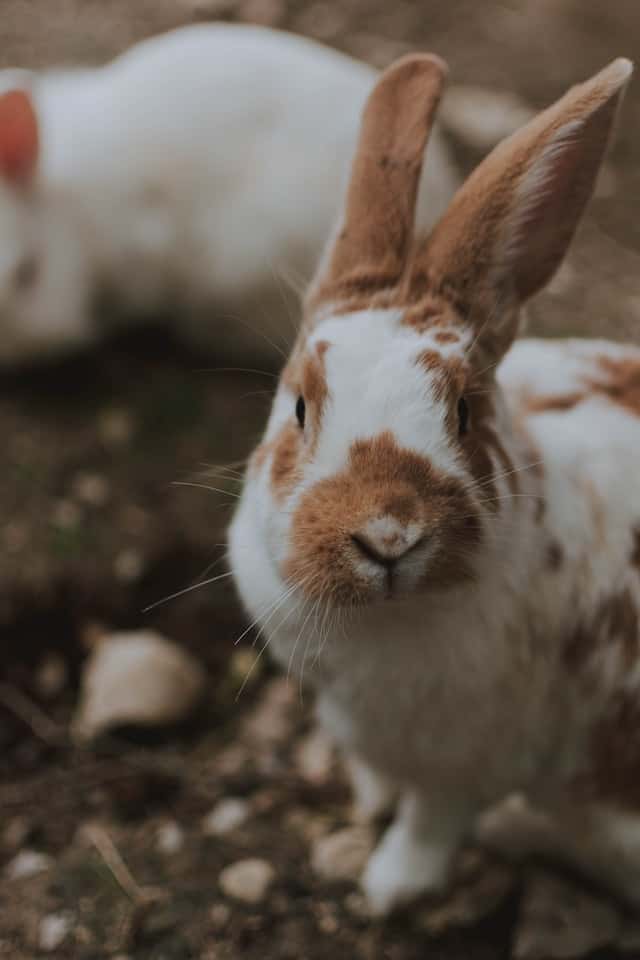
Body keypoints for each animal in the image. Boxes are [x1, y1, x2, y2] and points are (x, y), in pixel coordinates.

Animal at [229, 50, 640, 916]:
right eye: (300, 406)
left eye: (464, 410)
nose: (388, 535)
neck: (383, 621)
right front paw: (369, 802)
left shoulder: (473, 762)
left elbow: (429, 823)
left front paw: (387, 888)